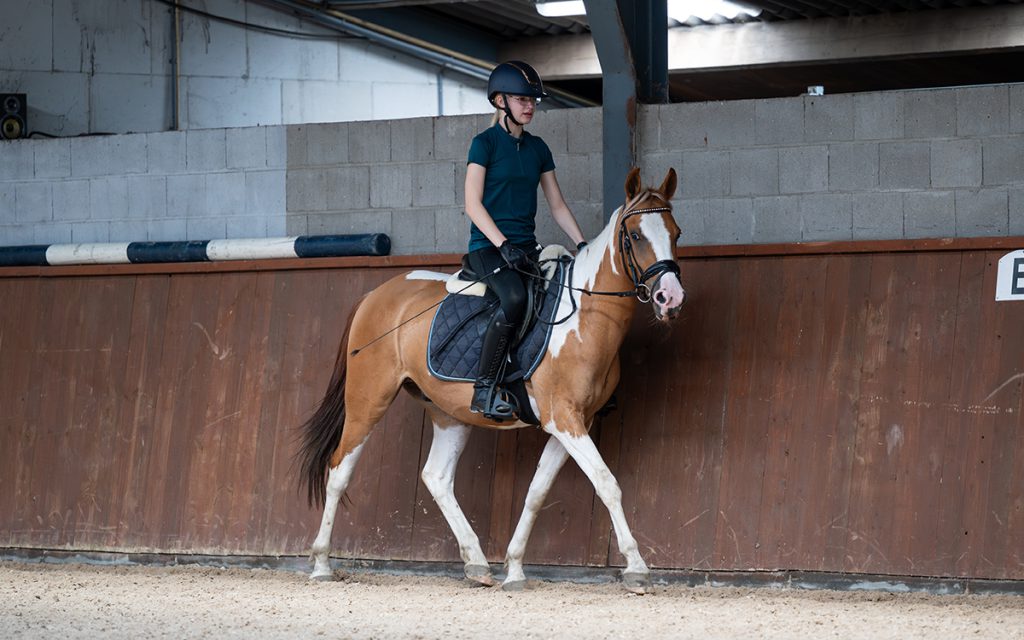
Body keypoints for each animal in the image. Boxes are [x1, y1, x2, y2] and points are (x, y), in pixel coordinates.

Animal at [299, 165, 692, 593]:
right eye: (635, 235)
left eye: (676, 233)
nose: (670, 298)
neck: (583, 317)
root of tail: (375, 294)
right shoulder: (564, 419)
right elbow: (607, 483)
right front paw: (637, 568)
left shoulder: (573, 422)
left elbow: (536, 492)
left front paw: (515, 568)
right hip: (368, 399)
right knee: (339, 470)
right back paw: (321, 564)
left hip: (449, 413)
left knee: (437, 477)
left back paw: (477, 564)